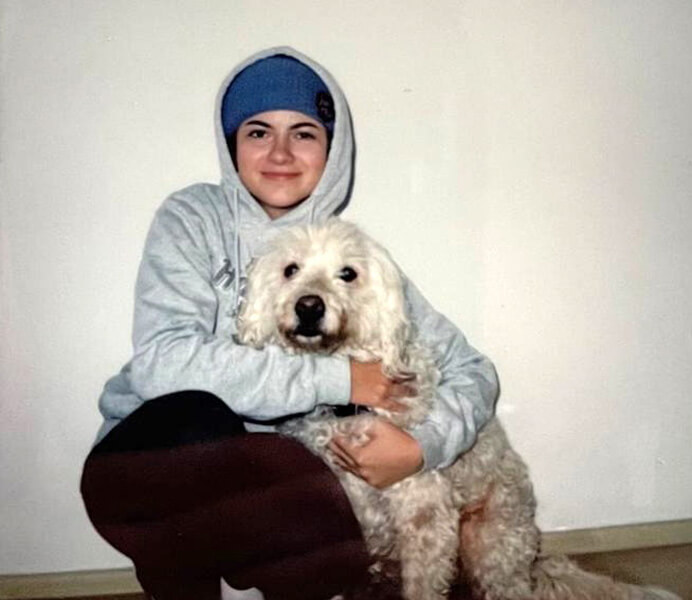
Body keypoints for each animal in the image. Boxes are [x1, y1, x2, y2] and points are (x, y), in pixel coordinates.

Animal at [237, 219, 679, 600]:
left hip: (490, 550)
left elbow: (421, 586)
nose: (309, 307)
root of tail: (533, 561)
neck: (350, 405)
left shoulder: (424, 516)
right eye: (291, 269)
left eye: (348, 273)